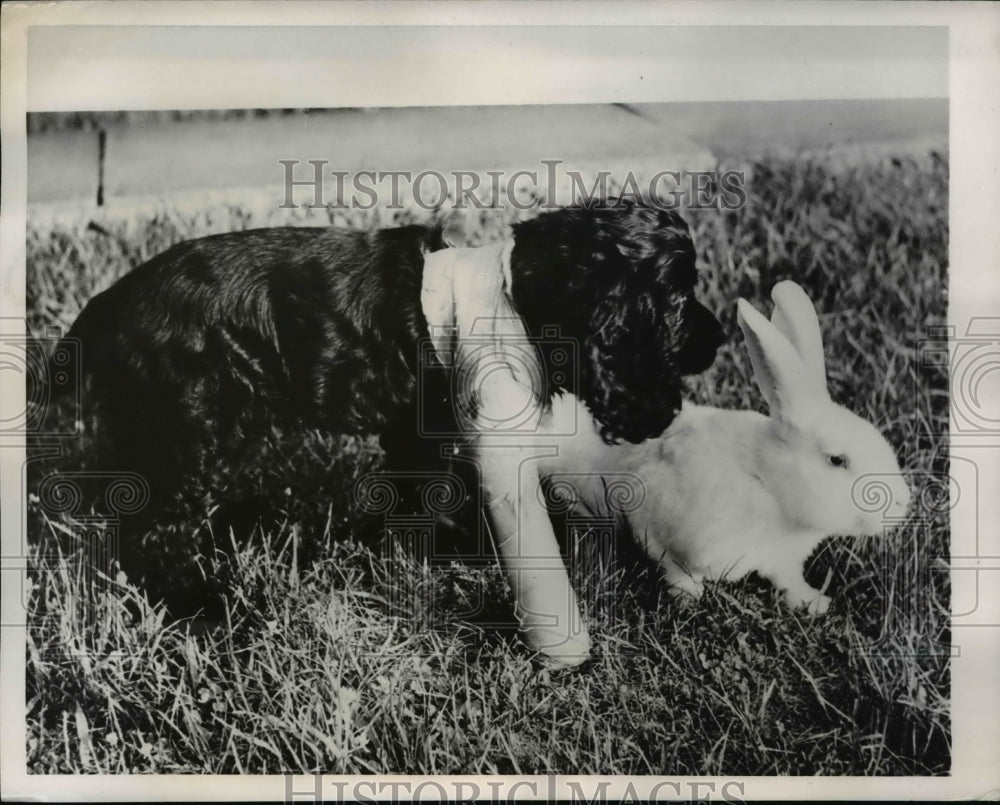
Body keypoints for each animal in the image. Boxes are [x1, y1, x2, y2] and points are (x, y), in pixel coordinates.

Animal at [47, 198, 724, 664]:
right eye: (678, 296)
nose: (719, 338)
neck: (517, 297)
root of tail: (105, 306)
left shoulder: (416, 431)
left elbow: (424, 495)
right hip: (196, 428)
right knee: (154, 531)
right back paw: (208, 609)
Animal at [536, 280, 912, 612]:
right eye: (837, 460)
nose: (901, 505)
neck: (767, 484)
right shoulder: (664, 532)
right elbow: (677, 571)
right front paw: (689, 601)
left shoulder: (783, 559)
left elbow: (788, 580)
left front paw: (813, 603)